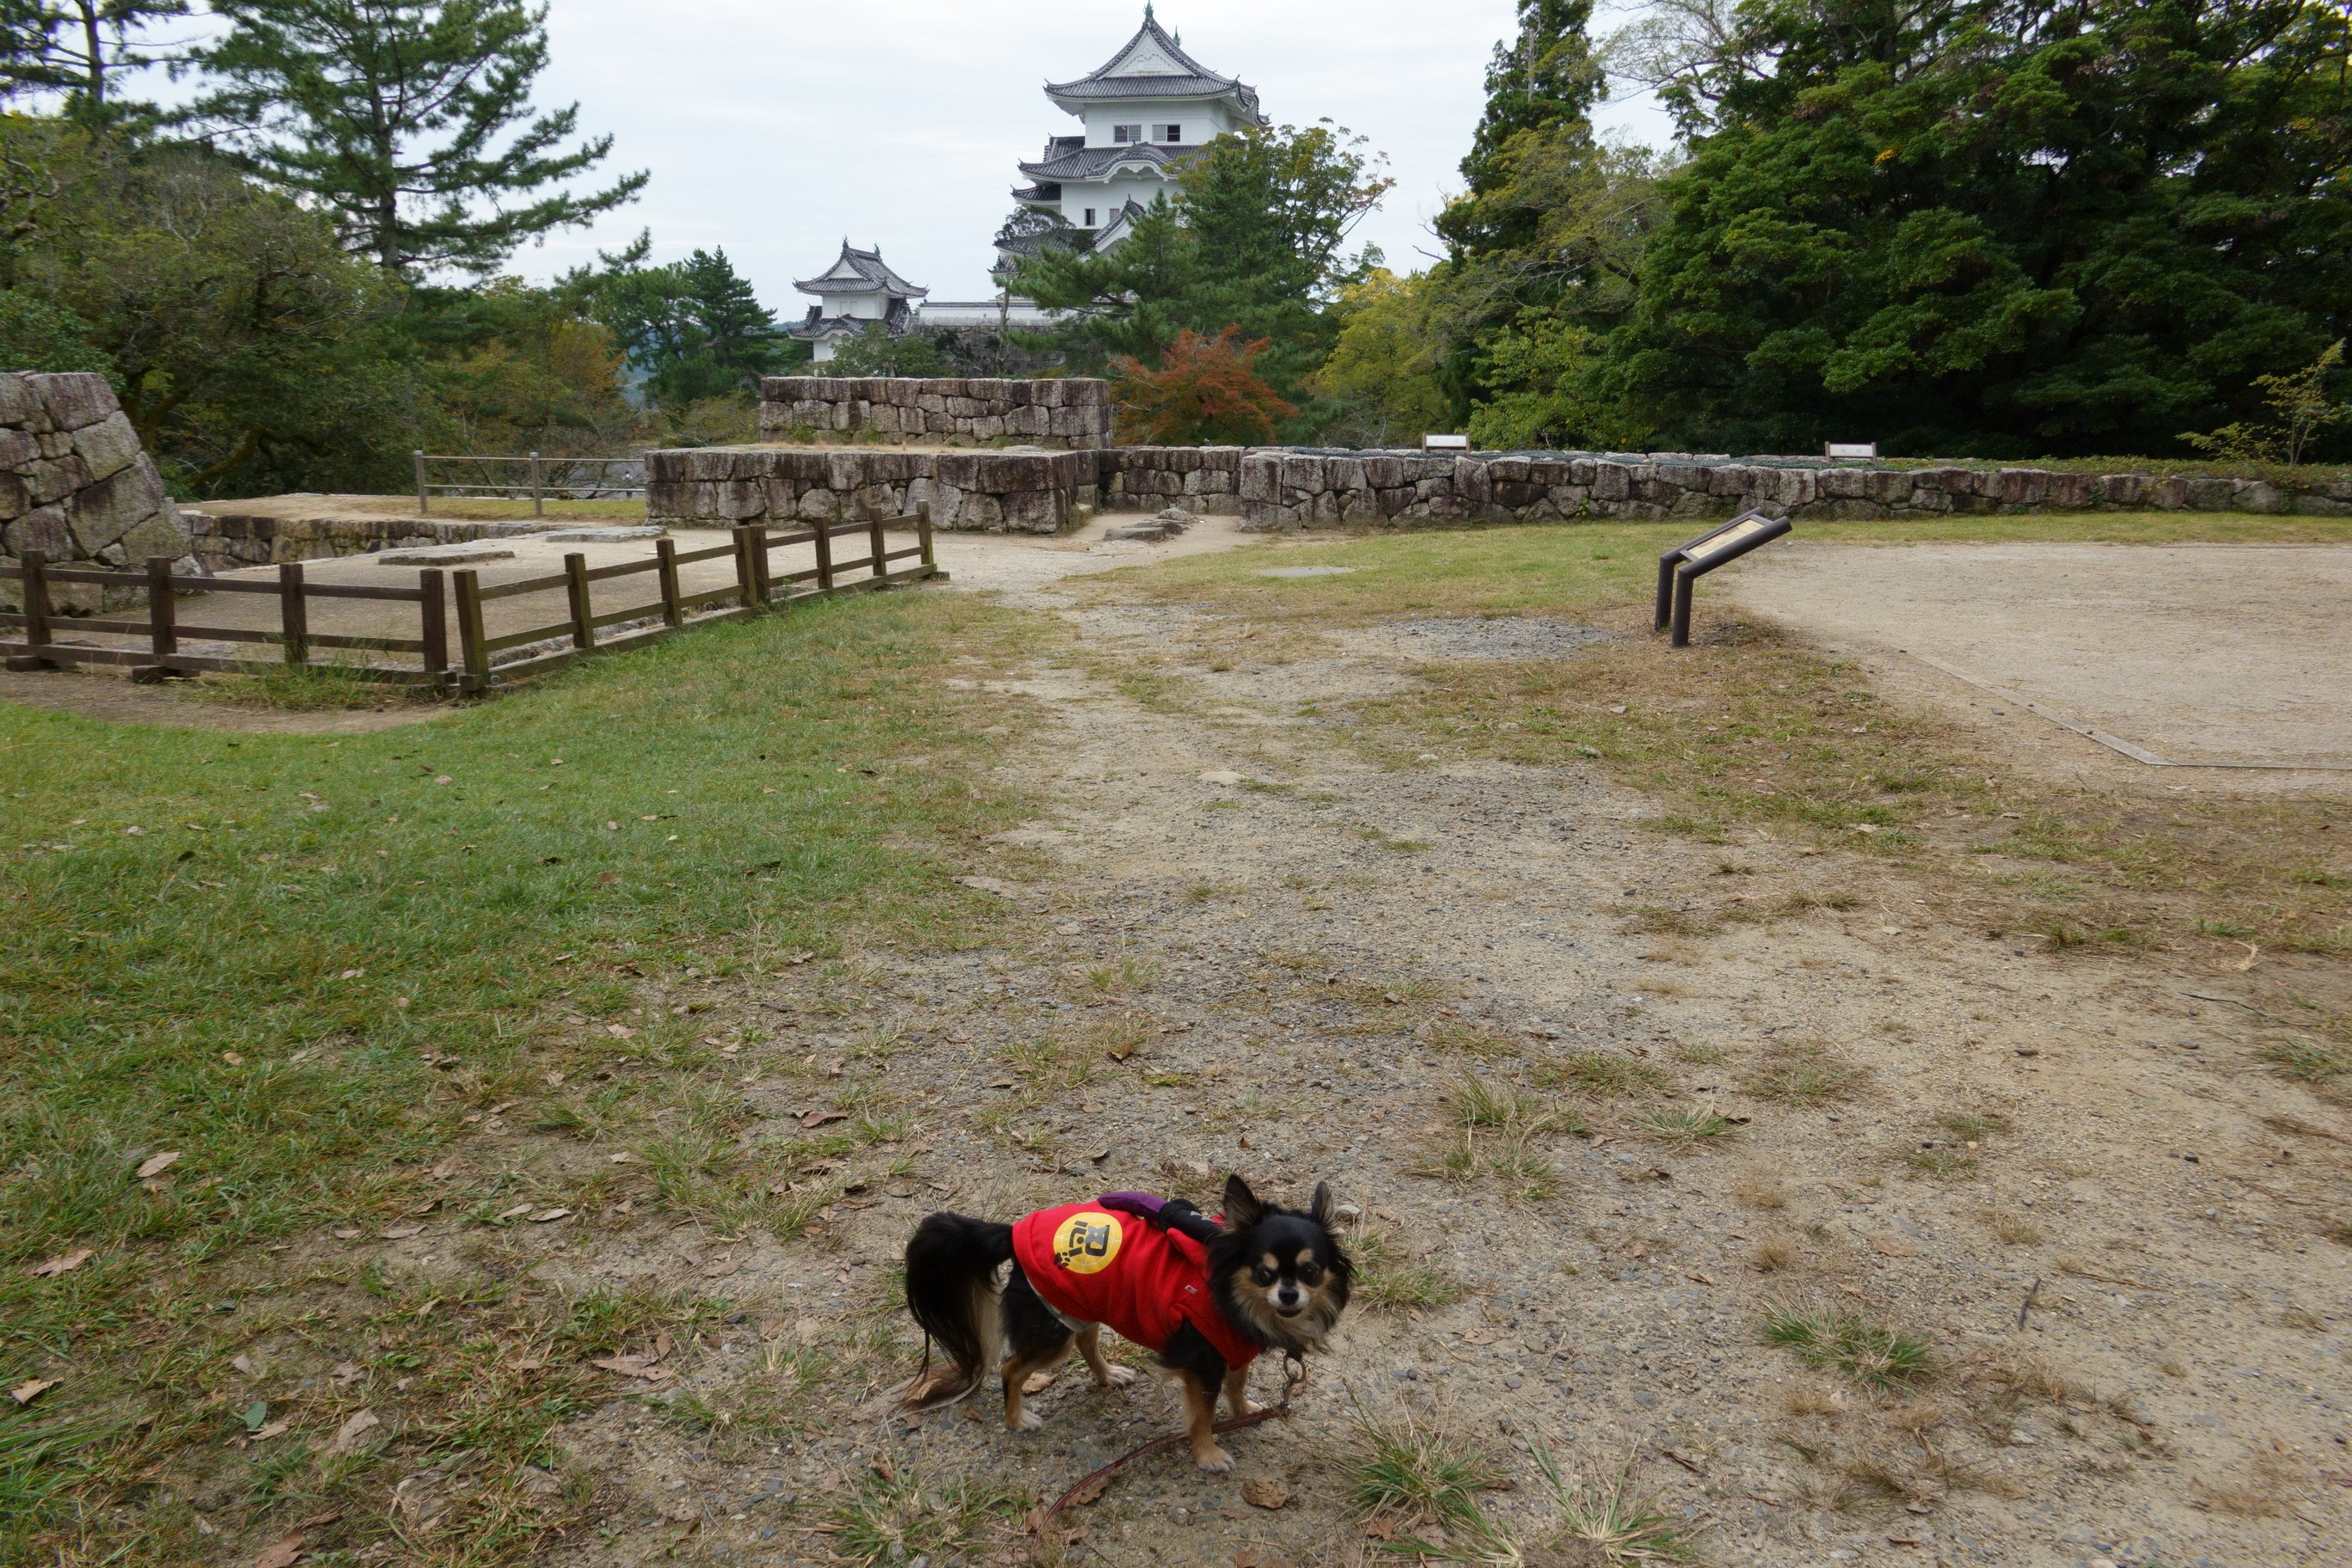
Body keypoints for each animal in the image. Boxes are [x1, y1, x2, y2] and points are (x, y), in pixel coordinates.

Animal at [898, 1175, 1354, 1476]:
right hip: (1052, 1334)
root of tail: (1013, 1232)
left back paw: (1107, 1376)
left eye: (1311, 1271)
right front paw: (1207, 1454)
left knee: (1086, 1342)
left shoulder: (1233, 1346)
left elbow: (1237, 1383)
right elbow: (1203, 1414)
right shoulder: (1201, 1362)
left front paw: (1244, 1412)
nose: (1289, 1295)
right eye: (1263, 1273)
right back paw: (1017, 1420)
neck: (1231, 1293)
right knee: (1011, 1369)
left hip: (1078, 1305)